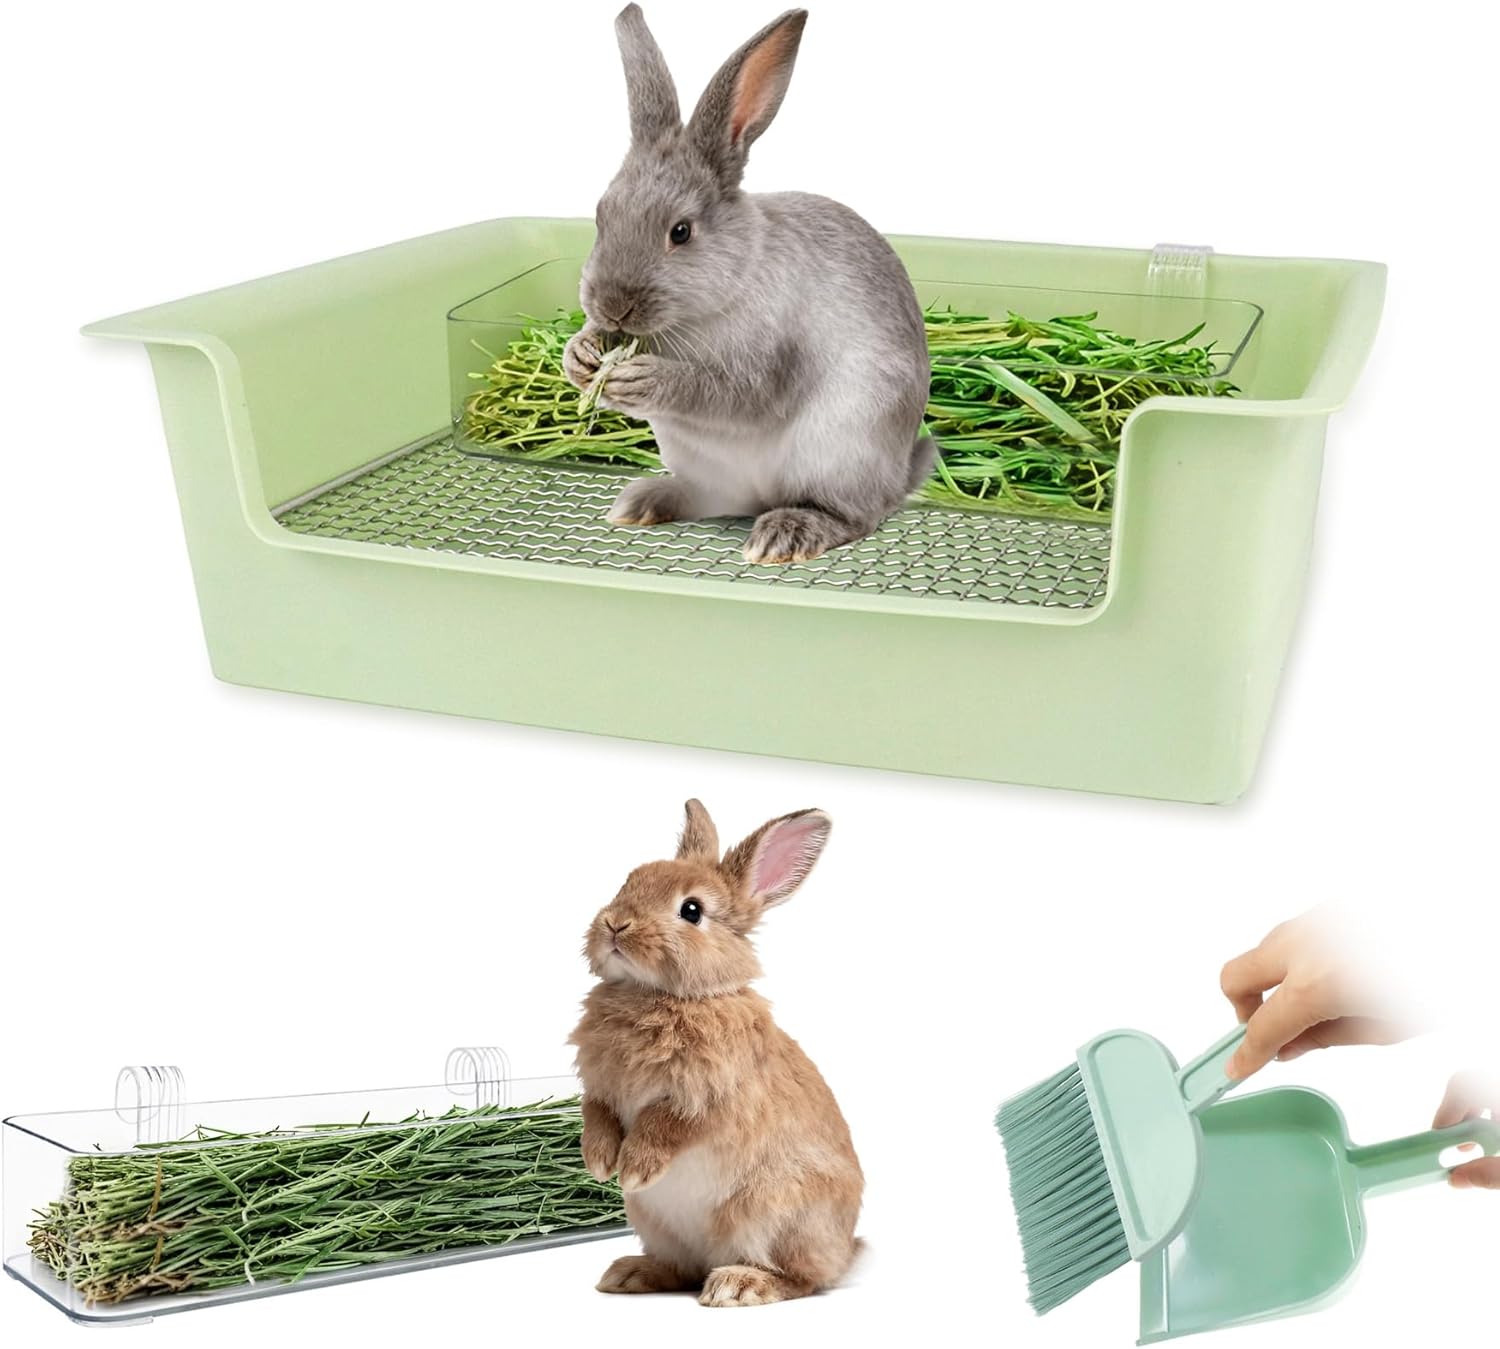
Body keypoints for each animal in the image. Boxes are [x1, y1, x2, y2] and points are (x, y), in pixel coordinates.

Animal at [562, 6, 935, 564]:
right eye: (602, 215)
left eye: (680, 232)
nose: (612, 307)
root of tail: (898, 477)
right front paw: (581, 357)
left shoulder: (765, 369)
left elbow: (726, 393)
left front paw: (642, 379)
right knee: (712, 499)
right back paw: (642, 501)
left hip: (838, 452)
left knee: (855, 516)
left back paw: (784, 536)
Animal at [568, 799, 864, 1307]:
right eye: (629, 881)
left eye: (691, 910)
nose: (616, 924)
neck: (657, 996)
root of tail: (847, 1249)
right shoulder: (599, 1089)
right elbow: (598, 1115)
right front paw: (601, 1164)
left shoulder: (710, 1099)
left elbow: (666, 1125)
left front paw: (634, 1169)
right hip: (659, 1227)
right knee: (682, 1269)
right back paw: (628, 1274)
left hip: (770, 1214)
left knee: (802, 1279)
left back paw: (738, 1285)